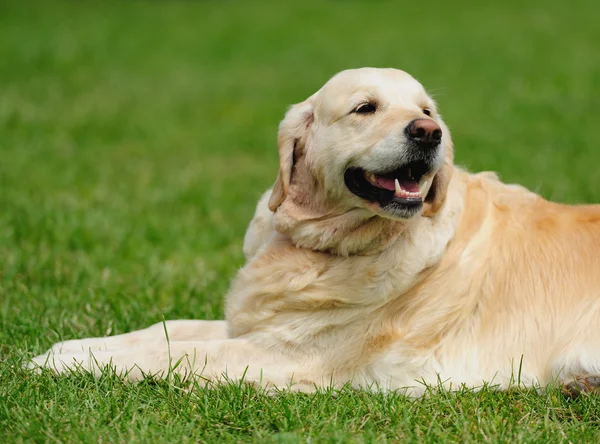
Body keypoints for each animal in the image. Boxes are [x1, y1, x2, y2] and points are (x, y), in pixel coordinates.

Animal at [29, 68, 600, 396]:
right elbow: (165, 330)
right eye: (365, 107)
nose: (429, 132)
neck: (320, 244)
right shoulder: (258, 325)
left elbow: (176, 353)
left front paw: (61, 364)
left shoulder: (289, 356)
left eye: (426, 111)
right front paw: (72, 348)